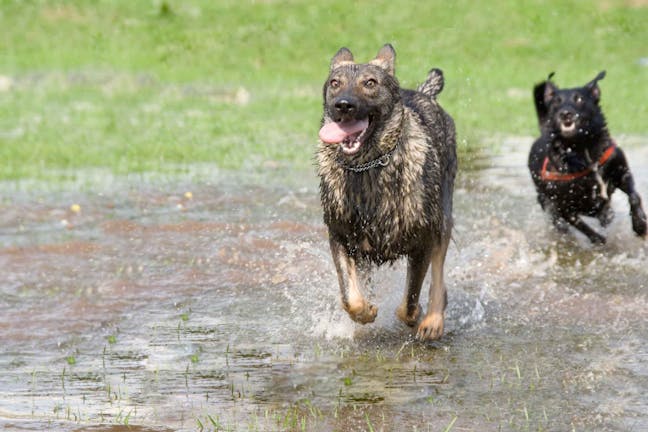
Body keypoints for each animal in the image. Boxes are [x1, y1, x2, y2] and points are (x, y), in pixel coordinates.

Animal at [316, 44, 456, 340]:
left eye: (370, 83)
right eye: (335, 83)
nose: (343, 104)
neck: (367, 169)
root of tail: (424, 93)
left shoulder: (422, 241)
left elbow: (411, 299)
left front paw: (416, 317)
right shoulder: (340, 237)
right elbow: (350, 296)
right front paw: (365, 312)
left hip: (442, 218)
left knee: (438, 274)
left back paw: (433, 320)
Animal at [528, 72, 644, 245]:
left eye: (579, 99)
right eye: (556, 101)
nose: (565, 113)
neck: (584, 150)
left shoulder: (622, 172)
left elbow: (634, 196)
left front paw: (640, 224)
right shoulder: (562, 203)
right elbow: (579, 223)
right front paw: (598, 238)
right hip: (545, 199)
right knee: (560, 221)